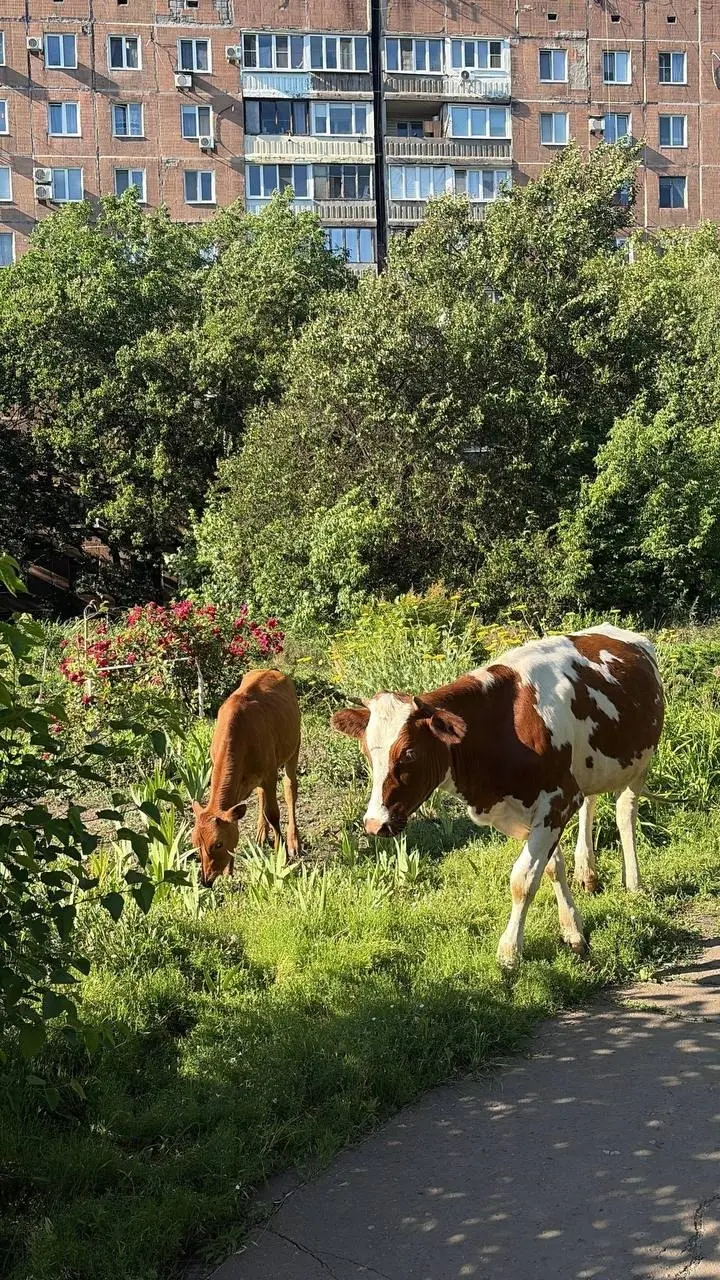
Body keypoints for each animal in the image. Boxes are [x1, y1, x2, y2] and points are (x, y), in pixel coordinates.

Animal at [192, 669, 301, 887]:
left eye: (218, 843)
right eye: (196, 843)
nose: (206, 880)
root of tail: (272, 670)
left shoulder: (269, 773)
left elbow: (273, 813)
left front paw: (282, 853)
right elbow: (237, 820)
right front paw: (229, 872)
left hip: (295, 745)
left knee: (290, 788)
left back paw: (294, 841)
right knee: (261, 795)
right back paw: (261, 834)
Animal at [331, 625, 664, 968]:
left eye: (409, 753)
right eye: (367, 752)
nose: (374, 824)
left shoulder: (558, 800)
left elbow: (523, 879)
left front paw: (509, 953)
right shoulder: (530, 810)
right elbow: (550, 867)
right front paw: (572, 931)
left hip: (641, 762)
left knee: (625, 814)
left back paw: (634, 884)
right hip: (591, 767)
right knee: (591, 803)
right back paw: (587, 873)